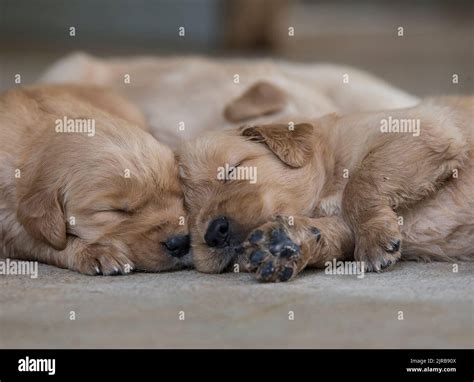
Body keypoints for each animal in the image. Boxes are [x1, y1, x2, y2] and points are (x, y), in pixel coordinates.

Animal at [180, 95, 472, 280]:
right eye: (189, 212)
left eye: (232, 170)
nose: (214, 233)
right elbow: (329, 232)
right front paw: (282, 243)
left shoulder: (421, 128)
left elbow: (361, 182)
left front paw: (374, 237)